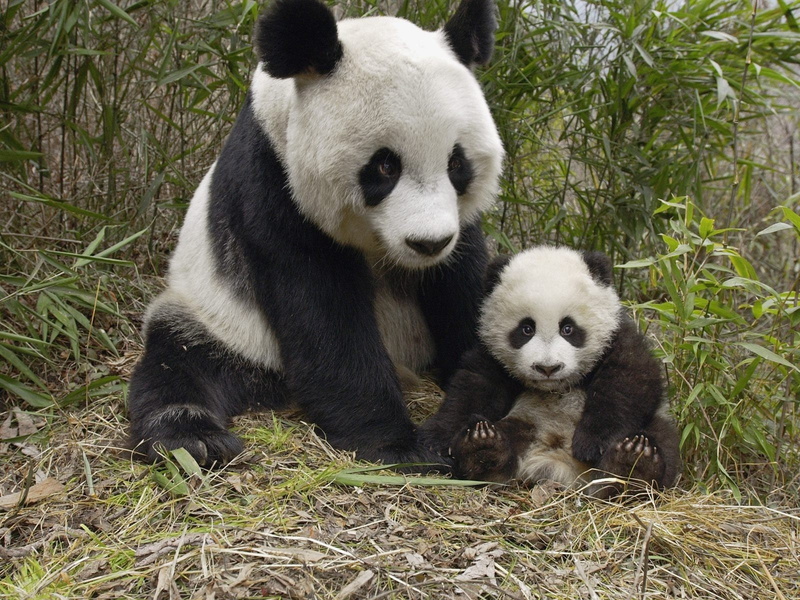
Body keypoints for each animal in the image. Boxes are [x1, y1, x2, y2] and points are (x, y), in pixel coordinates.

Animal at [126, 0, 504, 468]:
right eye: (385, 165)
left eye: (456, 164)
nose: (428, 243)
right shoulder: (273, 183)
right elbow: (322, 311)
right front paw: (401, 446)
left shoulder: (459, 228)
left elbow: (464, 286)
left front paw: (478, 420)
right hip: (219, 319)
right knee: (179, 361)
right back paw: (194, 438)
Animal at [419, 246, 681, 496]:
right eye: (526, 329)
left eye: (568, 328)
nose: (547, 368)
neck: (556, 388)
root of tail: (558, 465)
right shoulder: (491, 354)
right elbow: (474, 388)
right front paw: (435, 440)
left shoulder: (617, 336)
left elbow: (629, 380)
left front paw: (592, 443)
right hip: (526, 422)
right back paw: (483, 449)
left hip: (653, 427)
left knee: (662, 439)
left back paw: (633, 465)